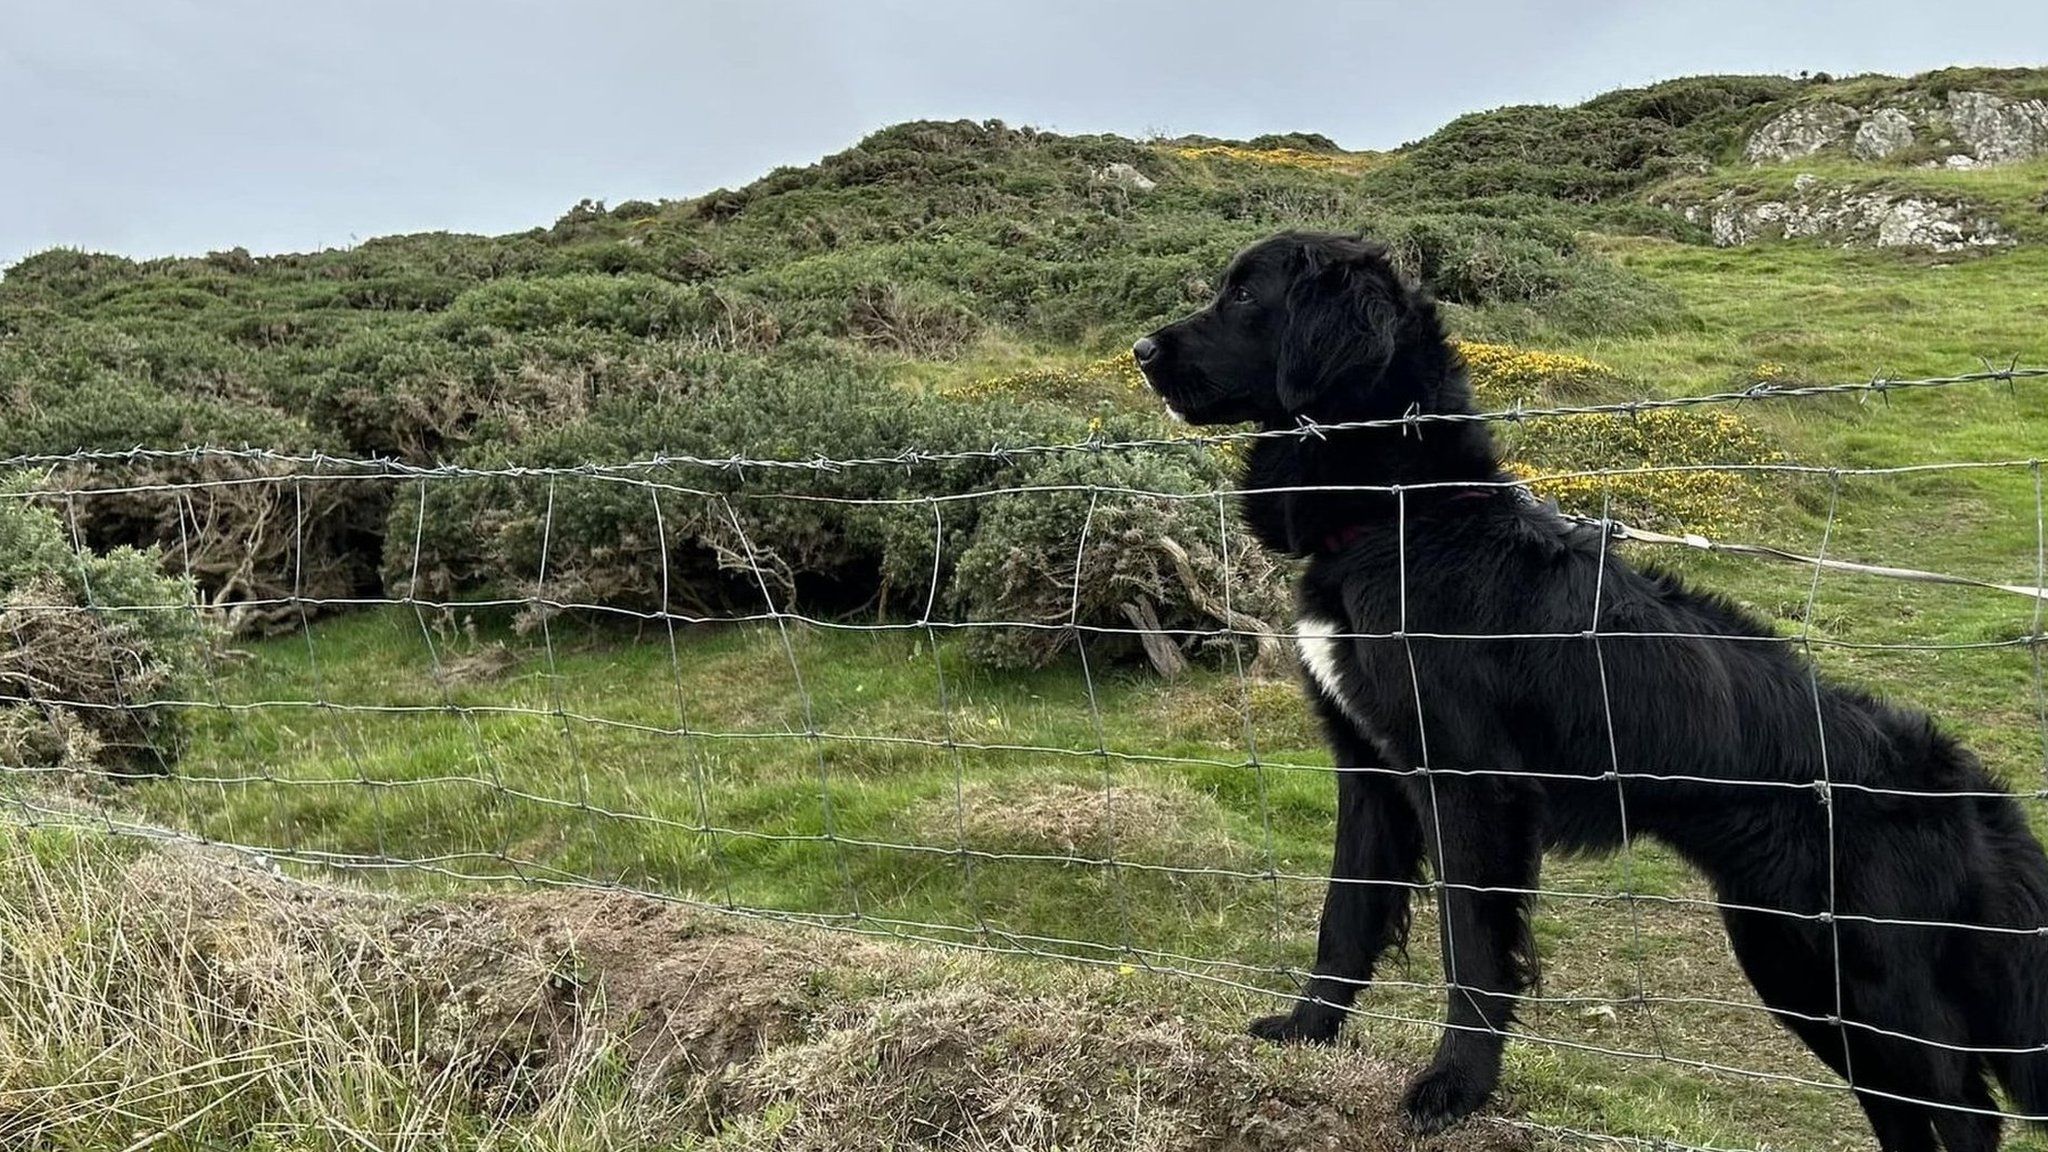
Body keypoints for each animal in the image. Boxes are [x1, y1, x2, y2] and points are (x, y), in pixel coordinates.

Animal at [1130, 228, 2048, 1139]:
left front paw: (1455, 1088)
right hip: (1794, 962)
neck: (1401, 514)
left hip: (1865, 976)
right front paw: (1308, 1030)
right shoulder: (1369, 769)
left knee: (1963, 1105)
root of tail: (1973, 797)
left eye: (1246, 296)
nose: (1139, 351)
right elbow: (1345, 917)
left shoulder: (1470, 785)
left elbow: (1473, 950)